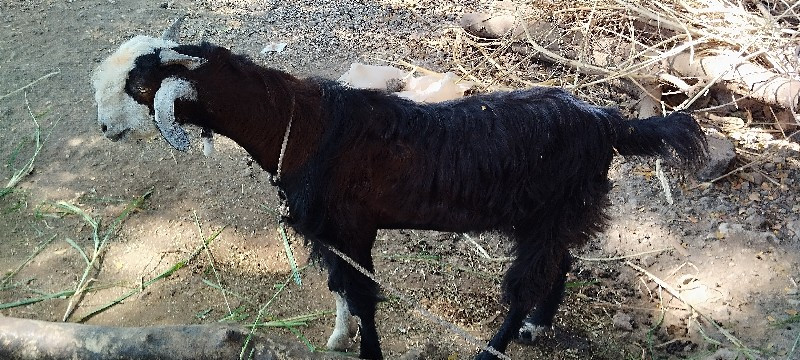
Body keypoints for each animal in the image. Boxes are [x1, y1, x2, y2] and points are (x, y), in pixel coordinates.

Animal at [92, 26, 708, 360]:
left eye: (139, 84)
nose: (102, 128)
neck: (300, 126)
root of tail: (609, 120)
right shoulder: (331, 234)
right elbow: (342, 290)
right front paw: (338, 338)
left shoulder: (351, 228)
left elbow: (364, 297)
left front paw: (366, 349)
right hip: (552, 212)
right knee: (559, 265)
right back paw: (537, 326)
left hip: (555, 210)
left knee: (528, 280)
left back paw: (496, 344)